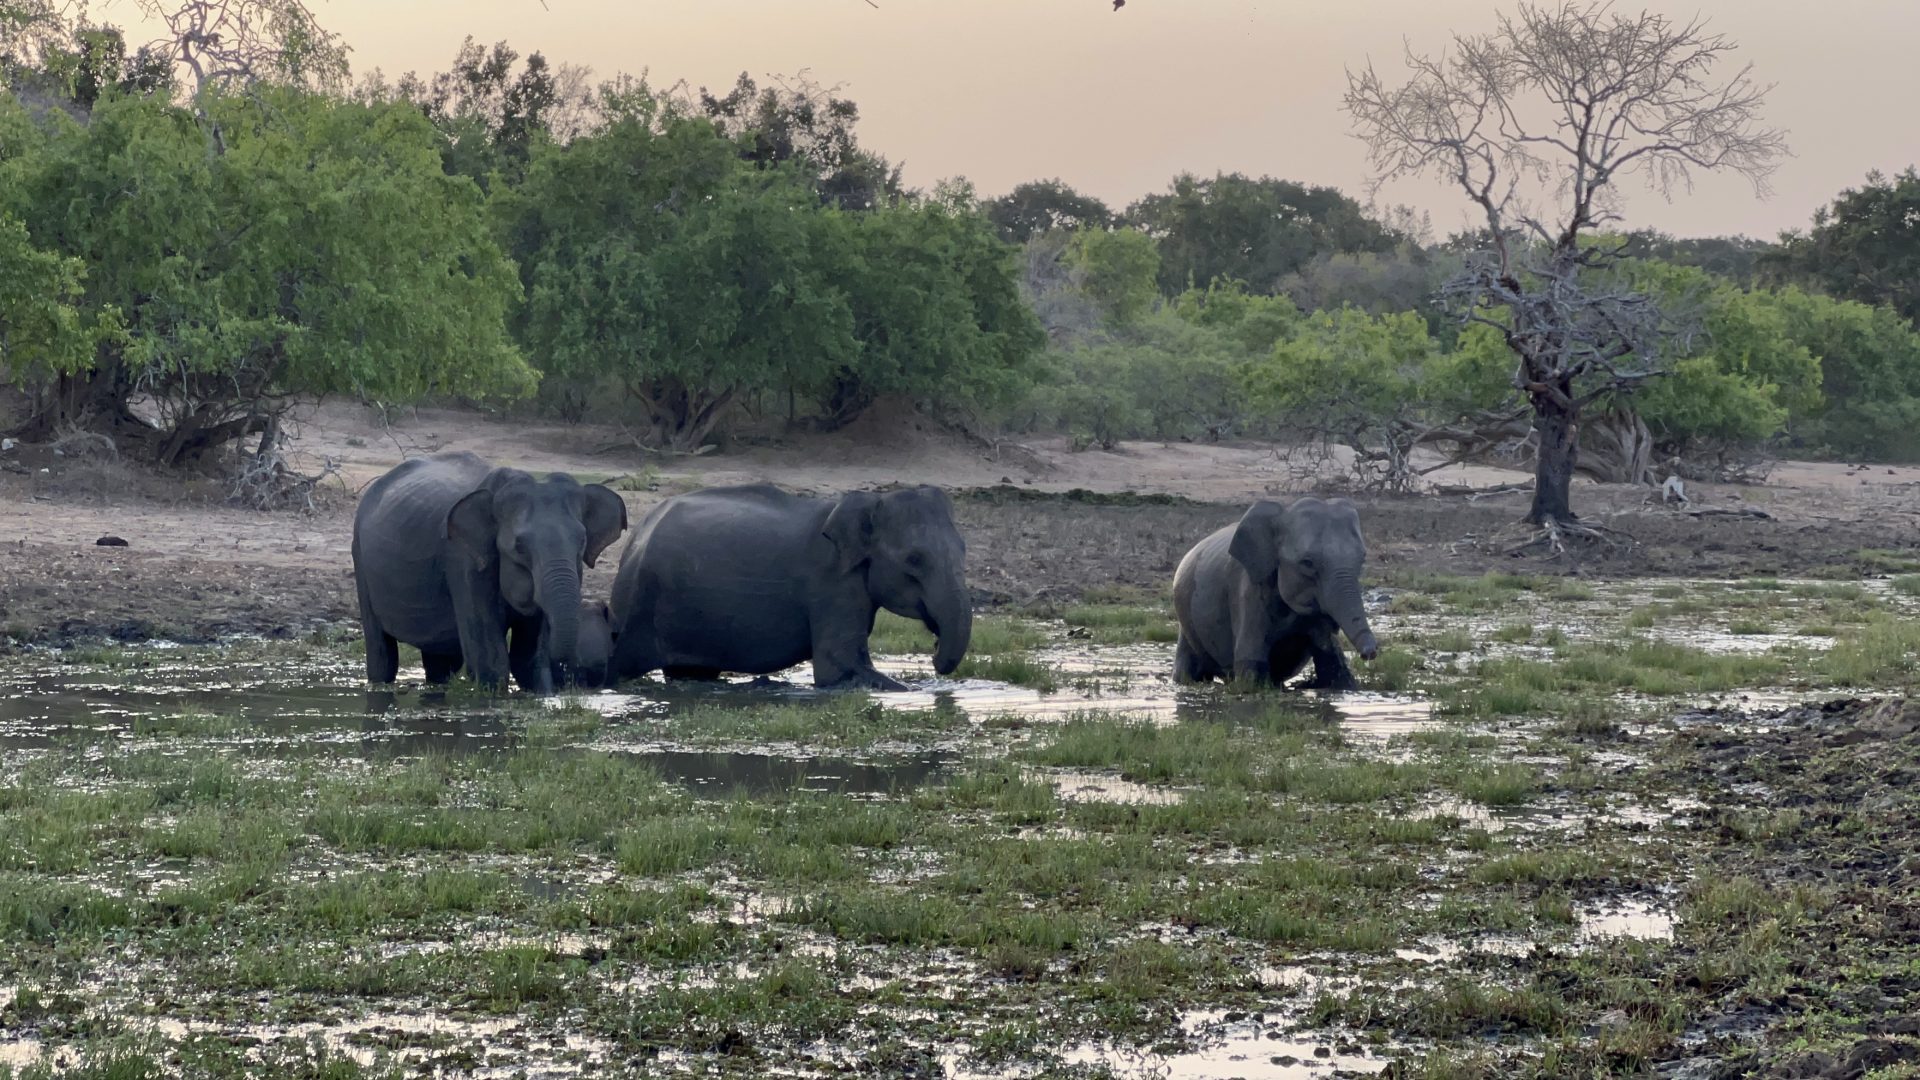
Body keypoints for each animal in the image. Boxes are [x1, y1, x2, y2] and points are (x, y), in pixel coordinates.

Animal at [352, 451, 628, 692]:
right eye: (519, 546)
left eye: (582, 541)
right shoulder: (464, 560)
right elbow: (491, 663)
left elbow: (527, 660)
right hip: (360, 560)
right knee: (382, 655)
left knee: (441, 663)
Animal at [607, 483, 972, 691]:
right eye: (914, 559)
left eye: (963, 549)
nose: (934, 657)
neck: (867, 503)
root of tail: (638, 534)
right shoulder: (831, 584)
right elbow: (838, 669)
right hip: (639, 601)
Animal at [1172, 497, 1380, 690]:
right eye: (1307, 563)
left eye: (1362, 559)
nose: (1370, 653)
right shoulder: (1247, 589)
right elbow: (1251, 667)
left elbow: (1332, 663)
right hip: (1186, 617)